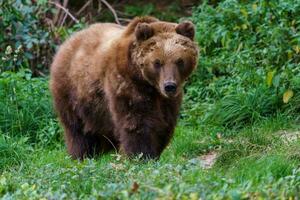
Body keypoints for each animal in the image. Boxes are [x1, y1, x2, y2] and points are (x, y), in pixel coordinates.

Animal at [50, 16, 198, 159]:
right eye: (157, 62)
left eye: (179, 61)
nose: (169, 86)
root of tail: (67, 42)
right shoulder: (126, 84)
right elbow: (136, 121)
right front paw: (141, 155)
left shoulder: (167, 100)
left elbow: (165, 123)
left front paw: (156, 151)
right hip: (72, 92)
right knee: (77, 129)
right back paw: (82, 155)